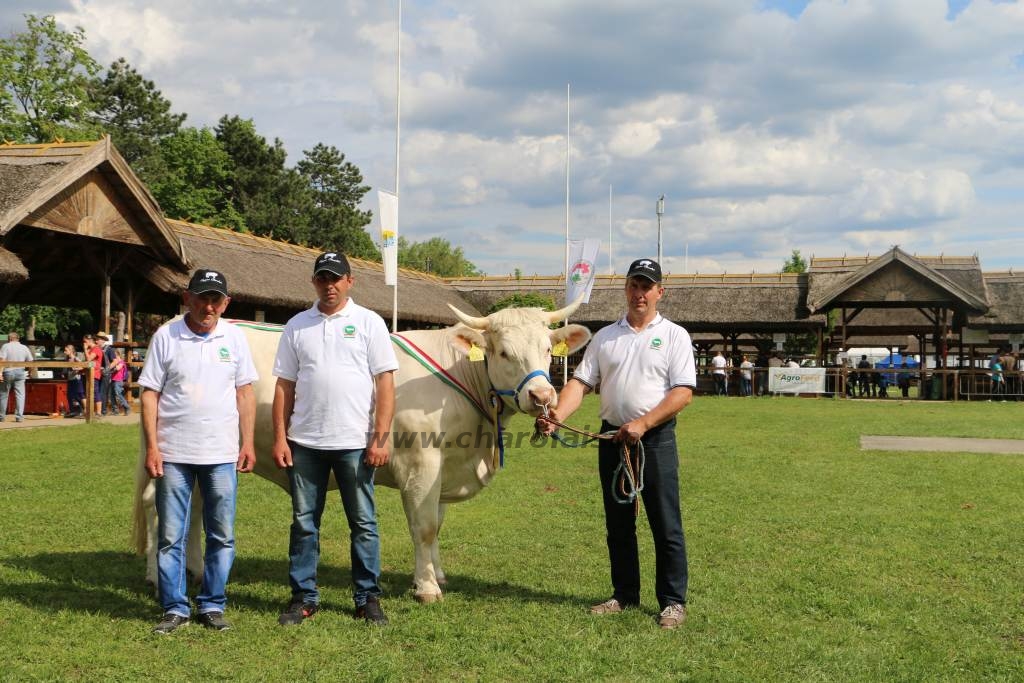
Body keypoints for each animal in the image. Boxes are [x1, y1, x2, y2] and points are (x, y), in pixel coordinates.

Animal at [134, 305, 593, 602]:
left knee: (194, 508)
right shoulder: (421, 464)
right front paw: (426, 587)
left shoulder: (444, 466)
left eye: (547, 349)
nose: (543, 396)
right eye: (503, 352)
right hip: (168, 456)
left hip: (208, 457)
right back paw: (157, 579)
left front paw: (437, 574)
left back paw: (194, 571)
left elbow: (438, 525)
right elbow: (424, 527)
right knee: (159, 508)